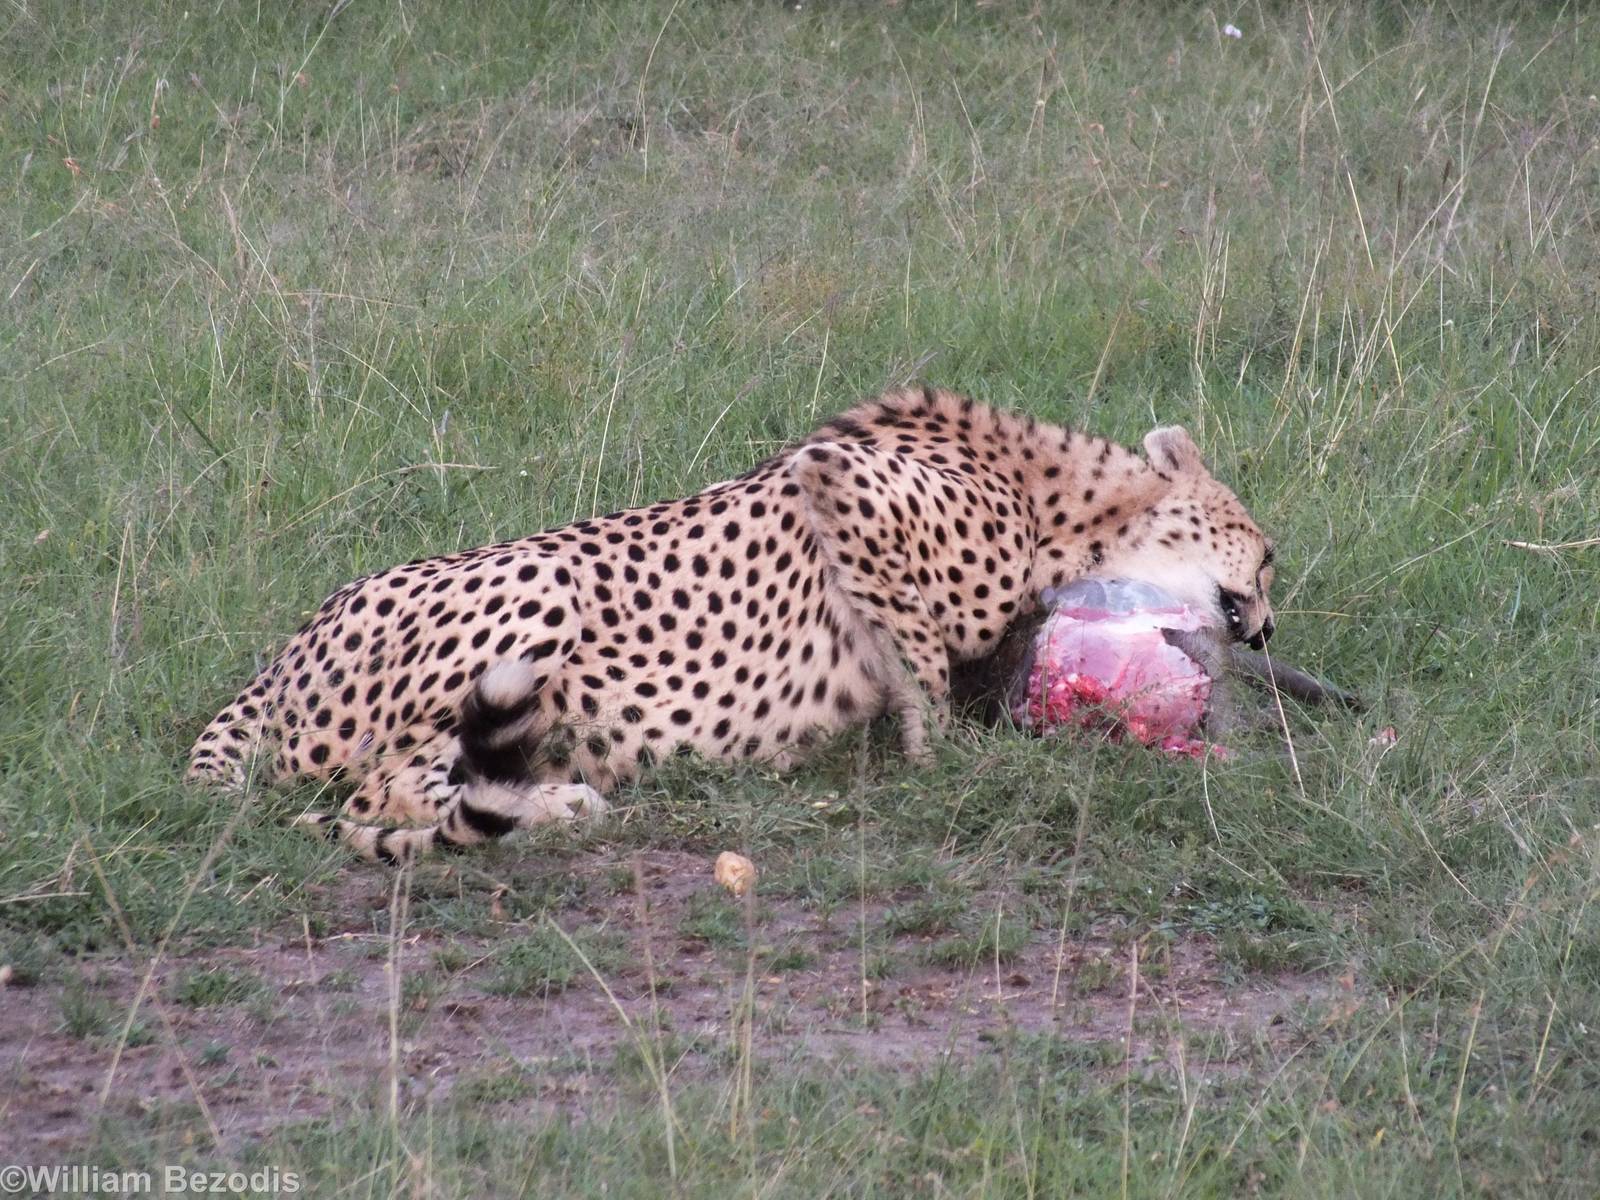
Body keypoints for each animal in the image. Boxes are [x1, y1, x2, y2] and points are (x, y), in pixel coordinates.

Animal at [187, 386, 1277, 862]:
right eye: (1264, 556)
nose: (1263, 628)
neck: (1063, 508)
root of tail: (282, 653)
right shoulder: (840, 485)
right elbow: (918, 660)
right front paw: (946, 758)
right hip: (540, 584)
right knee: (383, 785)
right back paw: (558, 805)